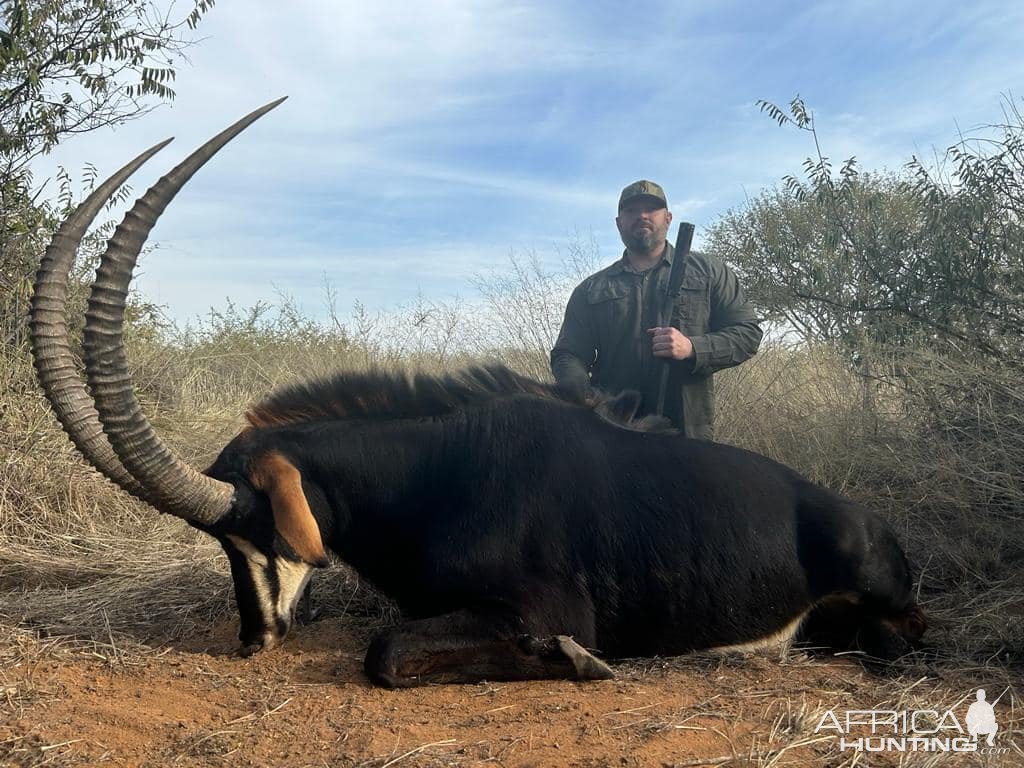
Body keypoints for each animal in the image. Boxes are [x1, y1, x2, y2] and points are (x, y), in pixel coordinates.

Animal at [32, 99, 929, 688]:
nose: (255, 640)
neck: (435, 472)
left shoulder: (544, 607)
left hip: (882, 606)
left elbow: (388, 654)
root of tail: (864, 515)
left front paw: (582, 664)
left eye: (253, 527)